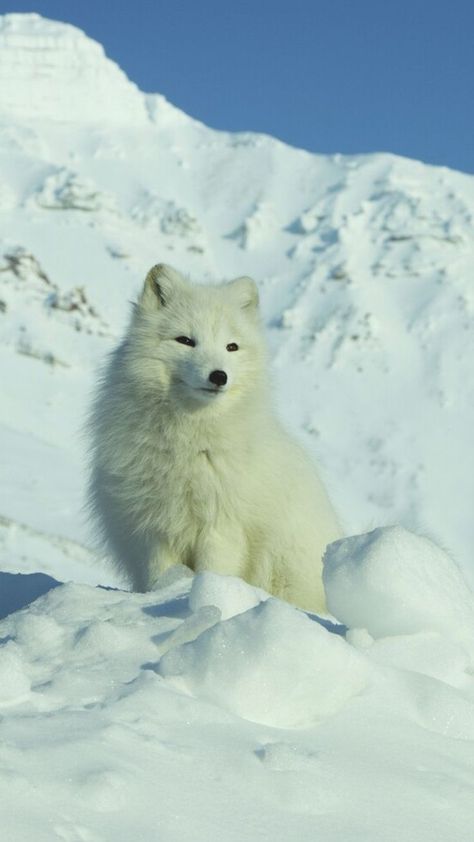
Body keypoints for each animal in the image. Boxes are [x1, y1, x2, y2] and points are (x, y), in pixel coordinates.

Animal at [89, 262, 340, 612]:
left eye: (231, 347)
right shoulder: (154, 527)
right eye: (185, 340)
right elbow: (158, 576)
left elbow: (213, 571)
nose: (219, 376)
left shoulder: (221, 527)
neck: (189, 442)